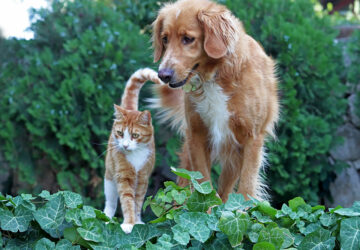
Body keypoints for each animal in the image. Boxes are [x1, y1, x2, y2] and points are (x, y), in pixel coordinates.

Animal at [102, 68, 162, 232]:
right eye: (120, 133)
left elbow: (137, 203)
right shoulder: (123, 177)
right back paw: (107, 218)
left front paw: (136, 222)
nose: (125, 145)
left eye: (135, 135)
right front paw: (129, 224)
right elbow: (127, 201)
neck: (136, 155)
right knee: (110, 203)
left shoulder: (142, 179)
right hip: (109, 180)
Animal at [150, 0, 280, 201]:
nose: (163, 75)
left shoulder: (252, 139)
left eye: (188, 39)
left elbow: (246, 188)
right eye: (165, 39)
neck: (216, 75)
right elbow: (203, 183)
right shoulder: (196, 136)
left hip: (234, 158)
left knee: (226, 193)